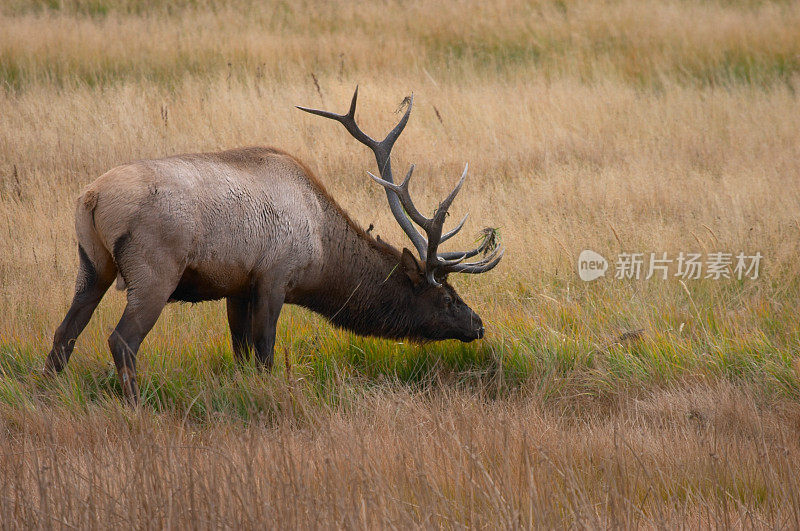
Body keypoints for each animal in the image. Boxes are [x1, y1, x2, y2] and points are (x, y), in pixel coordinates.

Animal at [45, 88, 500, 404]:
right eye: (447, 297)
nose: (478, 324)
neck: (322, 253)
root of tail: (92, 197)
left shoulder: (236, 288)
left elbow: (240, 352)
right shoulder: (274, 278)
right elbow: (264, 352)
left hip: (92, 265)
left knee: (64, 334)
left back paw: (46, 395)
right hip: (154, 272)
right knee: (122, 340)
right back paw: (136, 406)